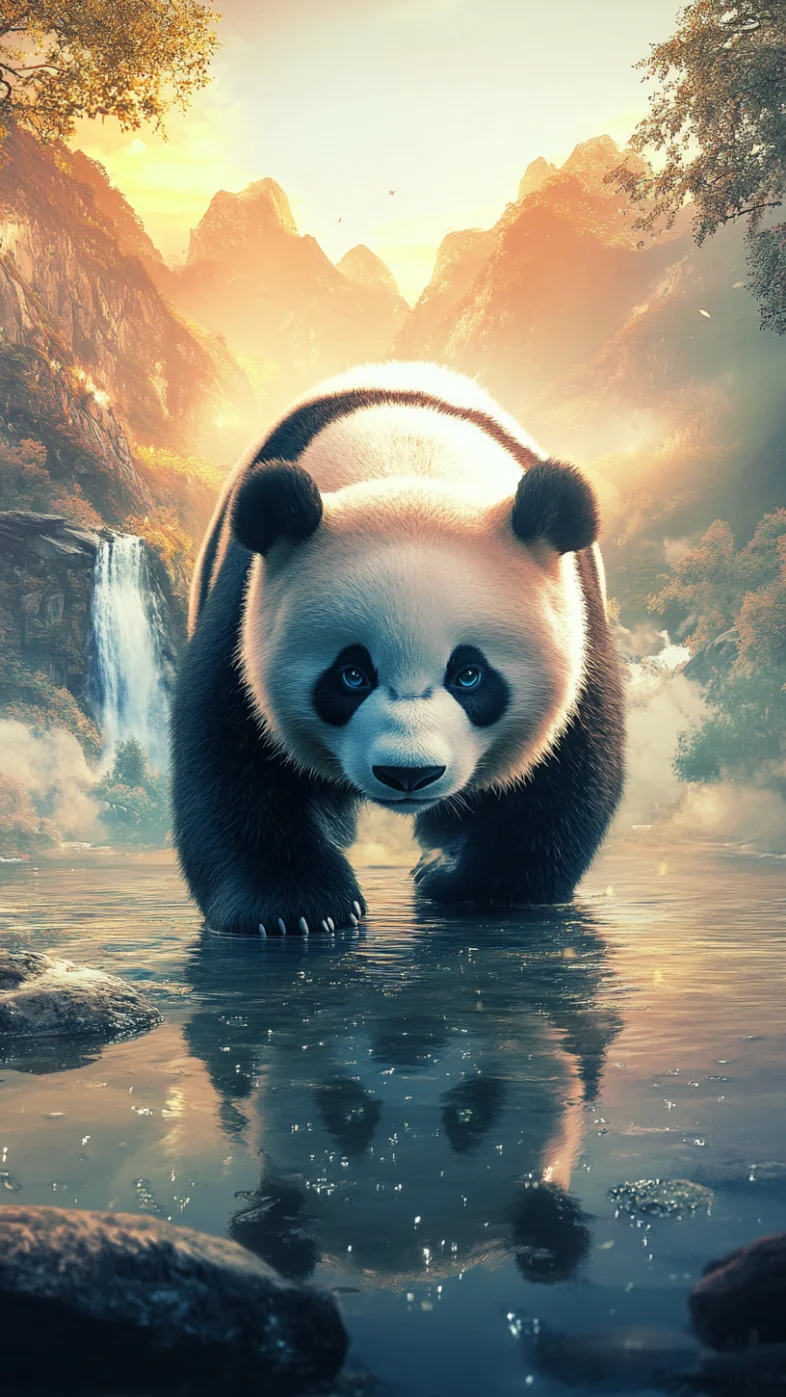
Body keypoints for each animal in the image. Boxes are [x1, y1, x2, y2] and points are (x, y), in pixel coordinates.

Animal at [171, 361, 625, 935]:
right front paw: (296, 909)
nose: (409, 774)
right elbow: (231, 754)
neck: (408, 463)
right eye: (351, 676)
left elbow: (561, 775)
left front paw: (465, 885)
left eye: (470, 675)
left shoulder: (572, 619)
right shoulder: (249, 606)